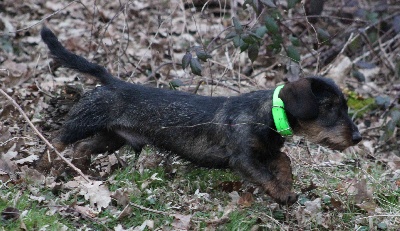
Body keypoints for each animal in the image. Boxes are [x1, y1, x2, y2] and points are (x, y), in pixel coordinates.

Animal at [40, 26, 362, 205]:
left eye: (344, 106)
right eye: (330, 107)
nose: (358, 137)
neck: (267, 115)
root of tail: (110, 80)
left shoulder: (267, 151)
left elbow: (283, 161)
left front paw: (287, 185)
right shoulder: (243, 158)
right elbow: (264, 174)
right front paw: (282, 194)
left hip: (111, 138)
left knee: (82, 147)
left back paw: (78, 167)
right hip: (85, 121)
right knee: (57, 140)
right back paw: (45, 167)